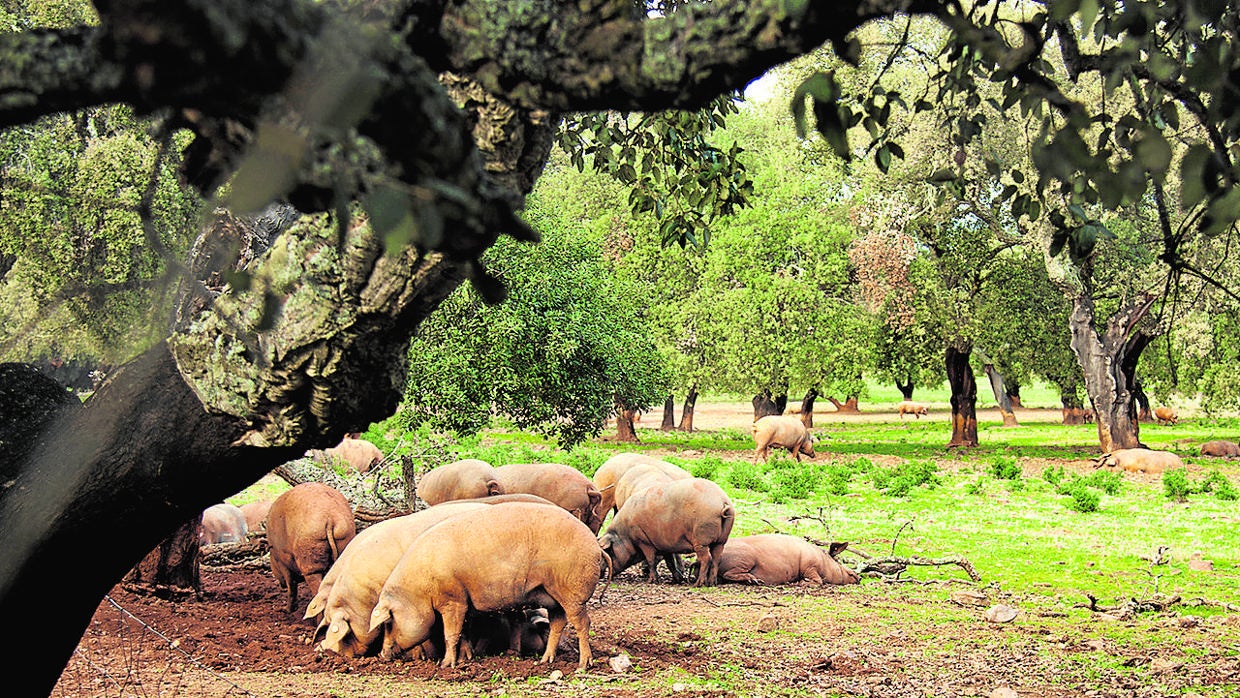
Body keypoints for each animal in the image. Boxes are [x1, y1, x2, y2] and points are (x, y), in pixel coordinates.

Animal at [265, 483, 354, 614]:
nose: (281, 585)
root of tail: (330, 518)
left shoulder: (282, 561)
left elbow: (291, 586)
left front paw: (287, 611)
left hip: (309, 553)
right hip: (345, 538)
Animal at [364, 503, 602, 669]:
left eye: (388, 623)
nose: (381, 655)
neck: (420, 589)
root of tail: (596, 546)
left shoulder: (452, 599)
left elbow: (450, 633)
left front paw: (446, 665)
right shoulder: (464, 601)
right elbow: (463, 631)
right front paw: (466, 659)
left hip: (573, 592)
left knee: (582, 622)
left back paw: (583, 665)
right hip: (552, 596)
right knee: (557, 623)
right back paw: (545, 661)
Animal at [595, 478, 729, 587]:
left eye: (609, 551)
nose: (601, 575)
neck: (625, 534)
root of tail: (722, 501)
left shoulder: (644, 541)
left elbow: (650, 560)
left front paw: (653, 581)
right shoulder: (665, 546)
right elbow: (670, 562)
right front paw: (676, 580)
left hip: (701, 540)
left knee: (707, 559)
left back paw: (698, 584)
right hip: (721, 541)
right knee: (716, 558)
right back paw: (712, 583)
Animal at [719, 538, 863, 587]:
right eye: (849, 573)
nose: (860, 577)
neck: (824, 562)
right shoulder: (809, 566)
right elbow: (818, 581)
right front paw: (802, 582)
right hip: (746, 558)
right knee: (727, 574)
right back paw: (754, 580)